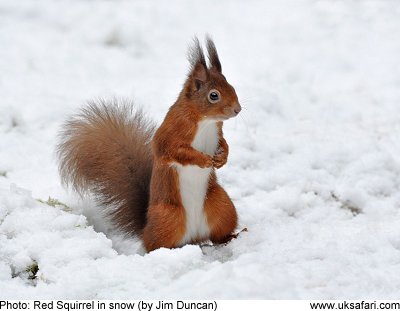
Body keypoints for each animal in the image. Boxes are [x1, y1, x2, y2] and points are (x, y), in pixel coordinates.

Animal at [57, 37, 242, 254]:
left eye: (232, 87)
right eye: (214, 95)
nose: (237, 109)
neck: (205, 122)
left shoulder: (217, 132)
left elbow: (223, 143)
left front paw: (222, 157)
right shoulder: (170, 134)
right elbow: (176, 151)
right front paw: (203, 159)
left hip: (221, 206)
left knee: (217, 234)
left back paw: (231, 237)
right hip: (168, 217)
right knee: (155, 244)